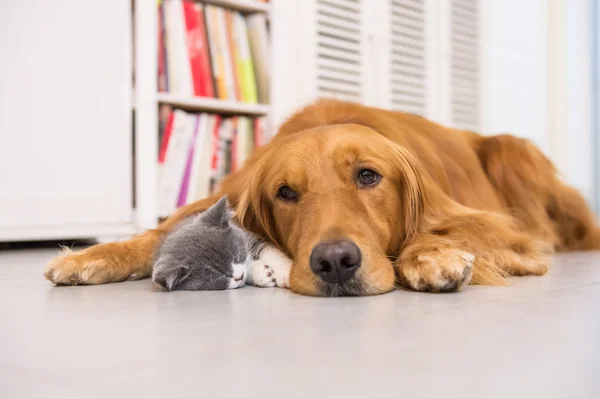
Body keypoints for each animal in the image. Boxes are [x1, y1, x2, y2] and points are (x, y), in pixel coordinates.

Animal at [152, 197, 292, 290]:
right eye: (218, 275)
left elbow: (269, 252)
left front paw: (286, 272)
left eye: (236, 256)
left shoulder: (248, 236)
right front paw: (263, 274)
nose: (239, 276)